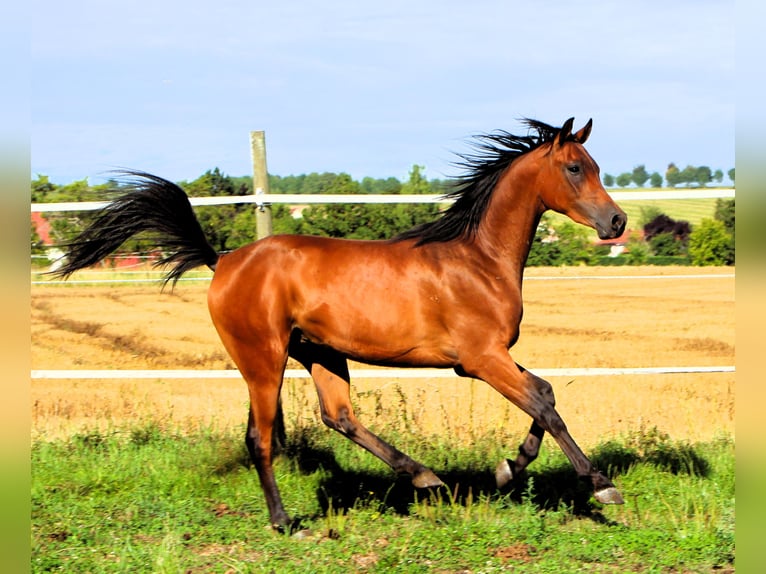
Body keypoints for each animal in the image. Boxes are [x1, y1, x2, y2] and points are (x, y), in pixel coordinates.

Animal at [53, 117, 628, 531]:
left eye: (594, 165)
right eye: (575, 167)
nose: (617, 221)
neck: (477, 260)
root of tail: (224, 261)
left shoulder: (486, 359)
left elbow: (544, 395)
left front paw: (509, 469)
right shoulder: (482, 359)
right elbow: (544, 406)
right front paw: (601, 486)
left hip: (319, 352)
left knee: (339, 415)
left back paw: (424, 478)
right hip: (263, 359)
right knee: (261, 438)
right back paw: (286, 521)